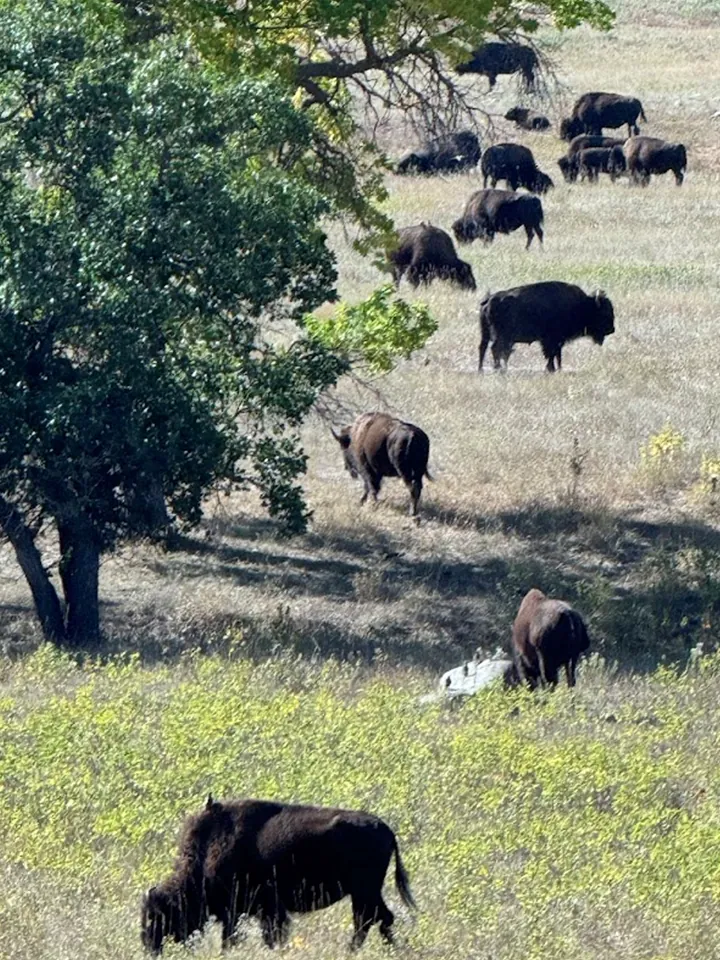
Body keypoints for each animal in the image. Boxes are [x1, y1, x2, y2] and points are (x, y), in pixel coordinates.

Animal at [142, 796, 415, 954]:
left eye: (157, 916)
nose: (149, 947)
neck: (206, 850)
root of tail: (386, 830)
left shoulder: (258, 910)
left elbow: (254, 936)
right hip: (367, 892)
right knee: (380, 918)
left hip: (363, 892)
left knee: (367, 920)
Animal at [478, 280, 615, 372]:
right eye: (605, 313)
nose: (612, 330)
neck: (583, 306)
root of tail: (489, 299)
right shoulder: (551, 340)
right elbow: (552, 354)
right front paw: (552, 369)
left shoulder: (557, 341)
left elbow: (556, 355)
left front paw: (557, 368)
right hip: (501, 336)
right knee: (495, 349)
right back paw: (498, 369)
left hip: (486, 334)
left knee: (483, 348)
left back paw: (482, 370)